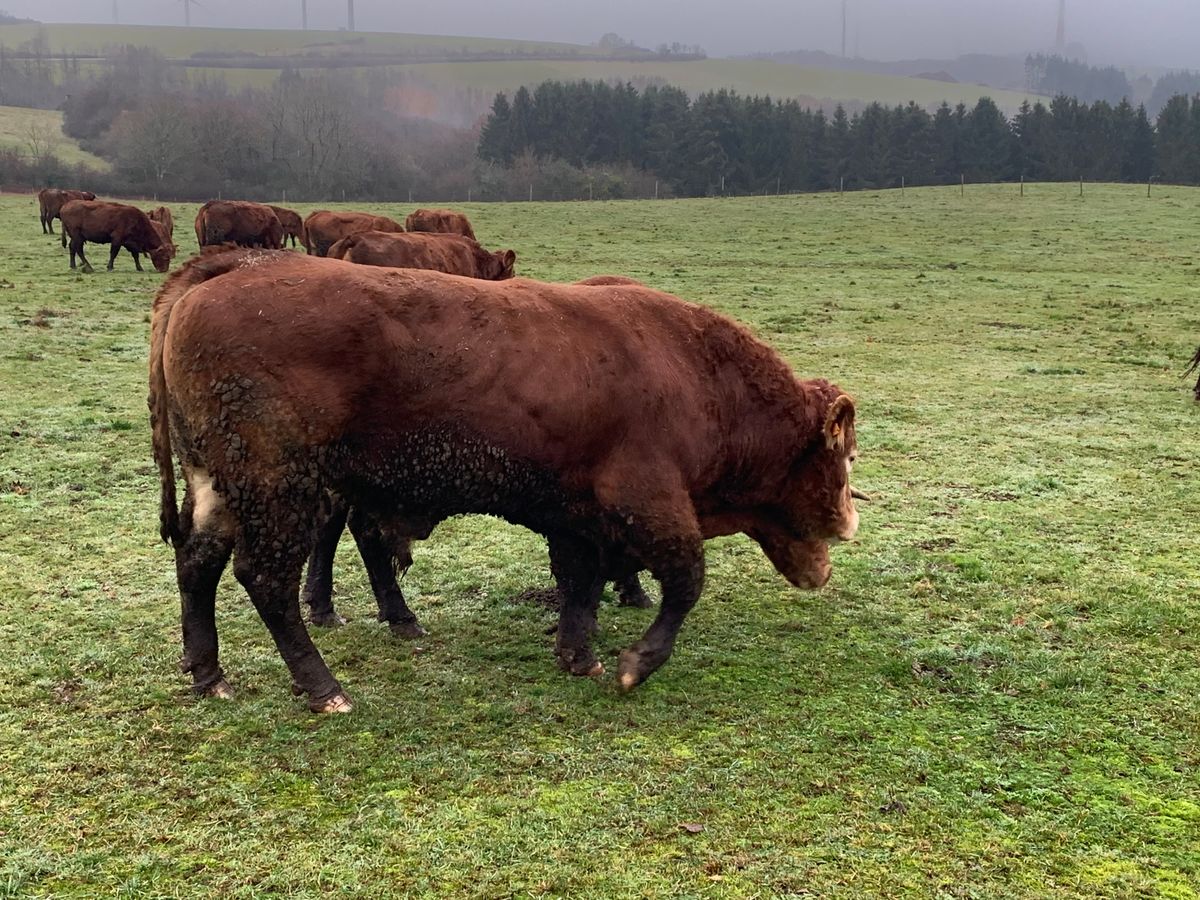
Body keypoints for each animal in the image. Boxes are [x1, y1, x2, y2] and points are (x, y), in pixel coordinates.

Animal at [150, 249, 860, 713]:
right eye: (846, 457)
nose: (849, 527)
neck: (693, 375)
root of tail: (226, 272)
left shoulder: (579, 515)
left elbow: (581, 584)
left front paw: (578, 654)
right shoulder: (650, 502)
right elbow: (684, 582)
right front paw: (636, 664)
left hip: (222, 486)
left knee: (199, 563)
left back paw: (208, 674)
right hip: (281, 489)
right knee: (267, 580)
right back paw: (324, 688)